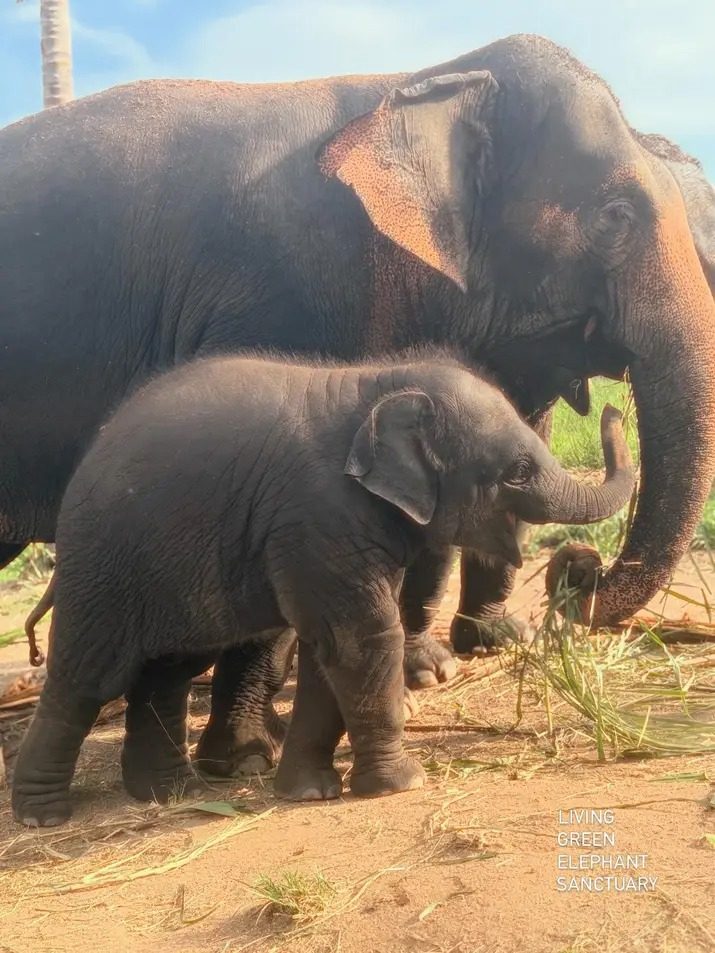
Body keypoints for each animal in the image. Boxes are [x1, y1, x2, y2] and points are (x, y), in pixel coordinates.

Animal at [1, 33, 714, 775]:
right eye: (615, 216)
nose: (578, 570)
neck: (411, 86)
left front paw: (458, 656)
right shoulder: (276, 291)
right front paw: (249, 756)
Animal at [11, 349, 635, 826]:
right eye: (518, 473)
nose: (611, 404)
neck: (380, 383)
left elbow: (328, 651)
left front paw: (307, 793)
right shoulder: (323, 515)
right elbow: (364, 639)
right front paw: (404, 785)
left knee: (167, 671)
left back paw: (169, 794)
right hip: (103, 565)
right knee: (87, 677)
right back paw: (44, 816)